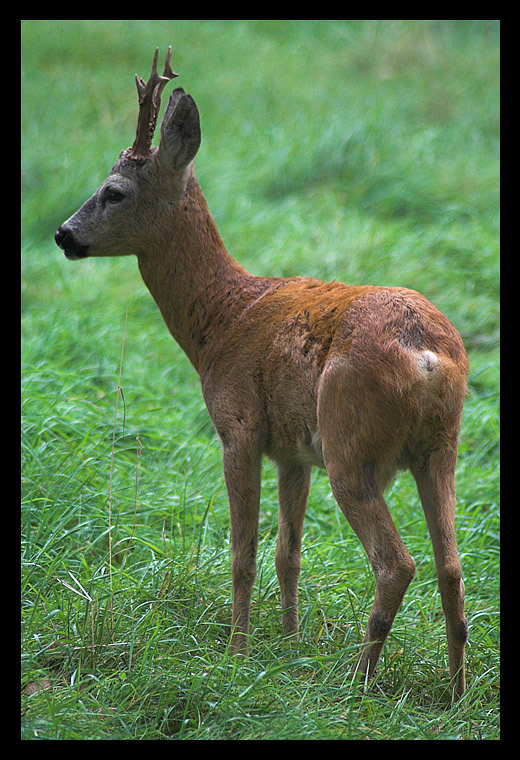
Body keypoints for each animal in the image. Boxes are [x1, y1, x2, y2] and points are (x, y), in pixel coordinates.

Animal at [54, 49, 470, 700]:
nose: (63, 234)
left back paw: (359, 682)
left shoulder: (239, 427)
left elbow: (244, 552)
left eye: (114, 191)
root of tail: (425, 354)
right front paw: (291, 644)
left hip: (351, 445)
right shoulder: (294, 451)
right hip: (439, 448)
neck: (220, 320)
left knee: (396, 563)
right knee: (451, 563)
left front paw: (237, 654)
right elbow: (288, 552)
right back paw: (455, 691)